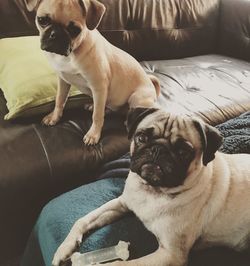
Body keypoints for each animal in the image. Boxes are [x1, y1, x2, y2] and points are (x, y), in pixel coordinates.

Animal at [24, 0, 159, 145]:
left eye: (75, 30)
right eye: (42, 20)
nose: (55, 34)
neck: (71, 55)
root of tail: (150, 83)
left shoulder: (99, 87)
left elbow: (97, 116)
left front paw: (93, 134)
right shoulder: (63, 81)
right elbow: (59, 100)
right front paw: (54, 117)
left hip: (136, 98)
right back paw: (93, 105)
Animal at [51, 108, 249, 266]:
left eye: (183, 152)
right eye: (141, 137)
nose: (158, 149)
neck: (153, 191)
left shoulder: (170, 255)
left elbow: (121, 264)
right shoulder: (122, 203)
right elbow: (83, 220)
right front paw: (65, 248)